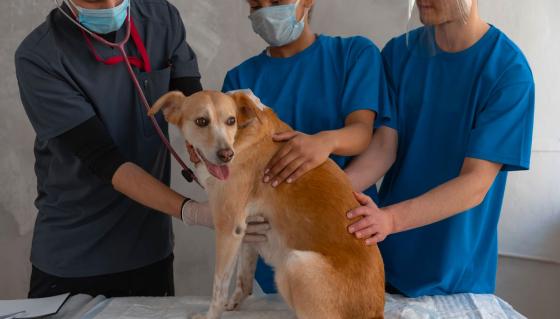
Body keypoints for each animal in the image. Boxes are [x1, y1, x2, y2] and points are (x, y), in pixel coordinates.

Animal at [149, 90, 384, 319]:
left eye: (231, 120)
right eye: (201, 121)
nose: (227, 155)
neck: (240, 136)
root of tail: (375, 312)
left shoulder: (228, 228)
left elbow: (219, 286)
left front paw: (210, 315)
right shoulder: (247, 230)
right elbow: (243, 279)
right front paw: (232, 304)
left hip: (295, 263)